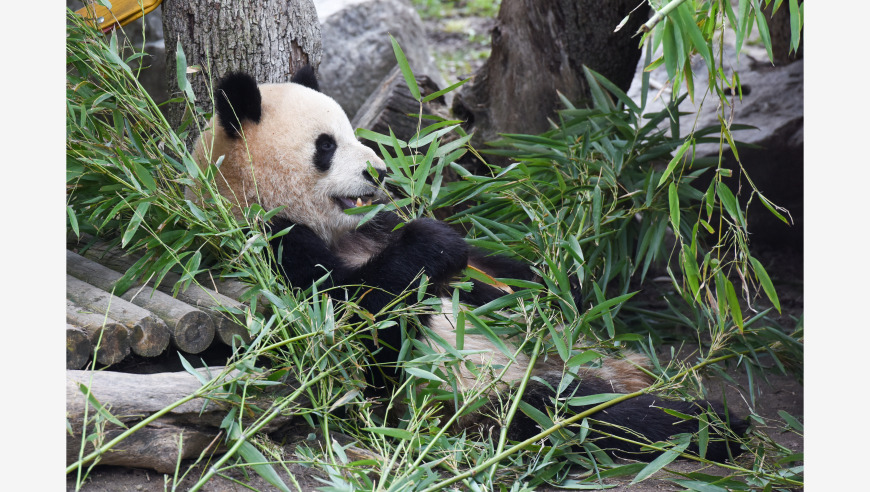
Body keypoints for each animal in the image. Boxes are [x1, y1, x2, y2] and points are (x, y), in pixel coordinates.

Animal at [192, 67, 748, 464]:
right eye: (325, 146)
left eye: (353, 132)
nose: (380, 171)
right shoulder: (267, 248)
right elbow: (353, 318)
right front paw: (434, 245)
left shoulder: (375, 223)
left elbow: (495, 271)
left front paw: (556, 287)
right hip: (491, 397)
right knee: (574, 412)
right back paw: (708, 423)